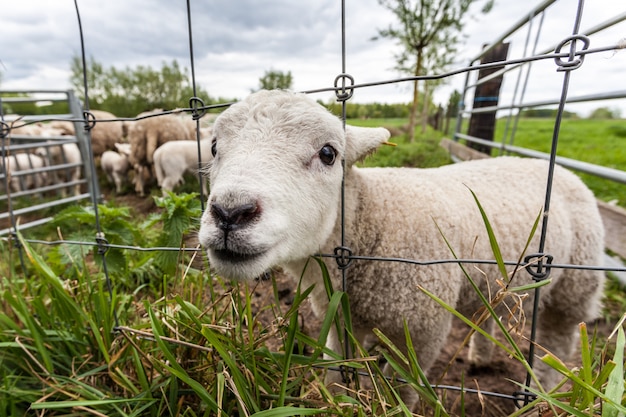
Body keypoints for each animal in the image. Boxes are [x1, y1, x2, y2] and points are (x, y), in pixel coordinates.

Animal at [196, 90, 604, 406]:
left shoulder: (423, 329)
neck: (372, 223)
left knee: (558, 341)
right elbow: (336, 370)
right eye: (213, 147)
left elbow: (406, 387)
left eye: (328, 153)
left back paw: (542, 397)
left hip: (574, 288)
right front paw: (337, 399)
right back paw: (480, 359)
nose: (230, 212)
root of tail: (557, 168)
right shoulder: (340, 317)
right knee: (488, 313)